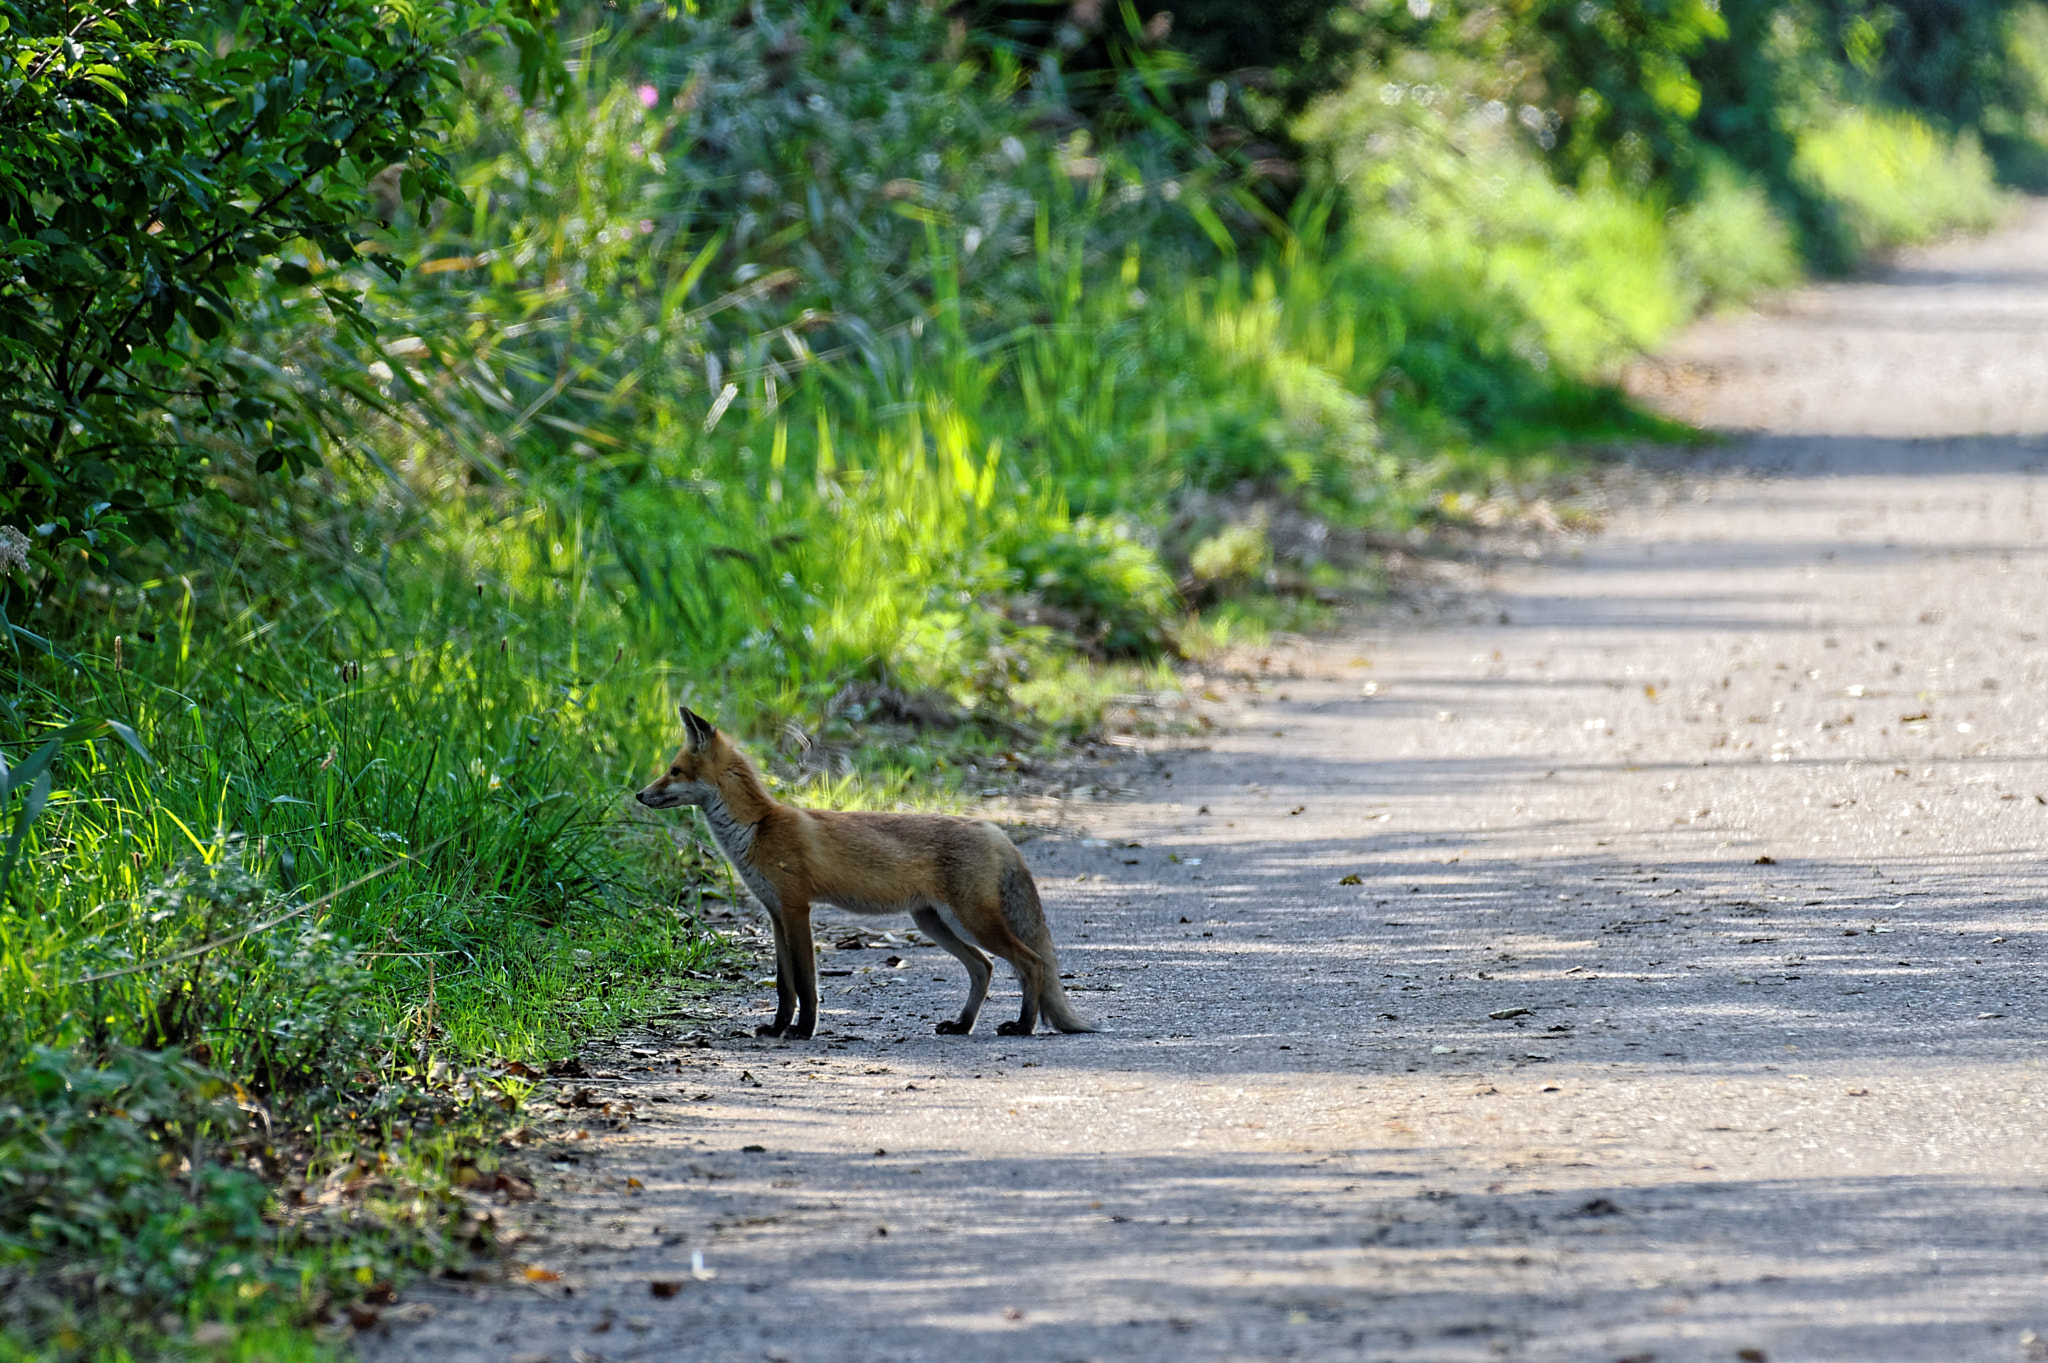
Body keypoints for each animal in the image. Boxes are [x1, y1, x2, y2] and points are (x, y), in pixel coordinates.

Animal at [635, 707, 1096, 1041]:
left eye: (674, 771)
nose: (640, 794)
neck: (757, 828)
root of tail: (992, 829)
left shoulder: (796, 908)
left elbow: (806, 983)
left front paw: (803, 1031)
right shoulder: (775, 913)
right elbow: (785, 985)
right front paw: (778, 1027)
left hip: (972, 920)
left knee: (1032, 962)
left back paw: (1023, 1026)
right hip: (933, 922)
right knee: (983, 967)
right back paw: (962, 1026)